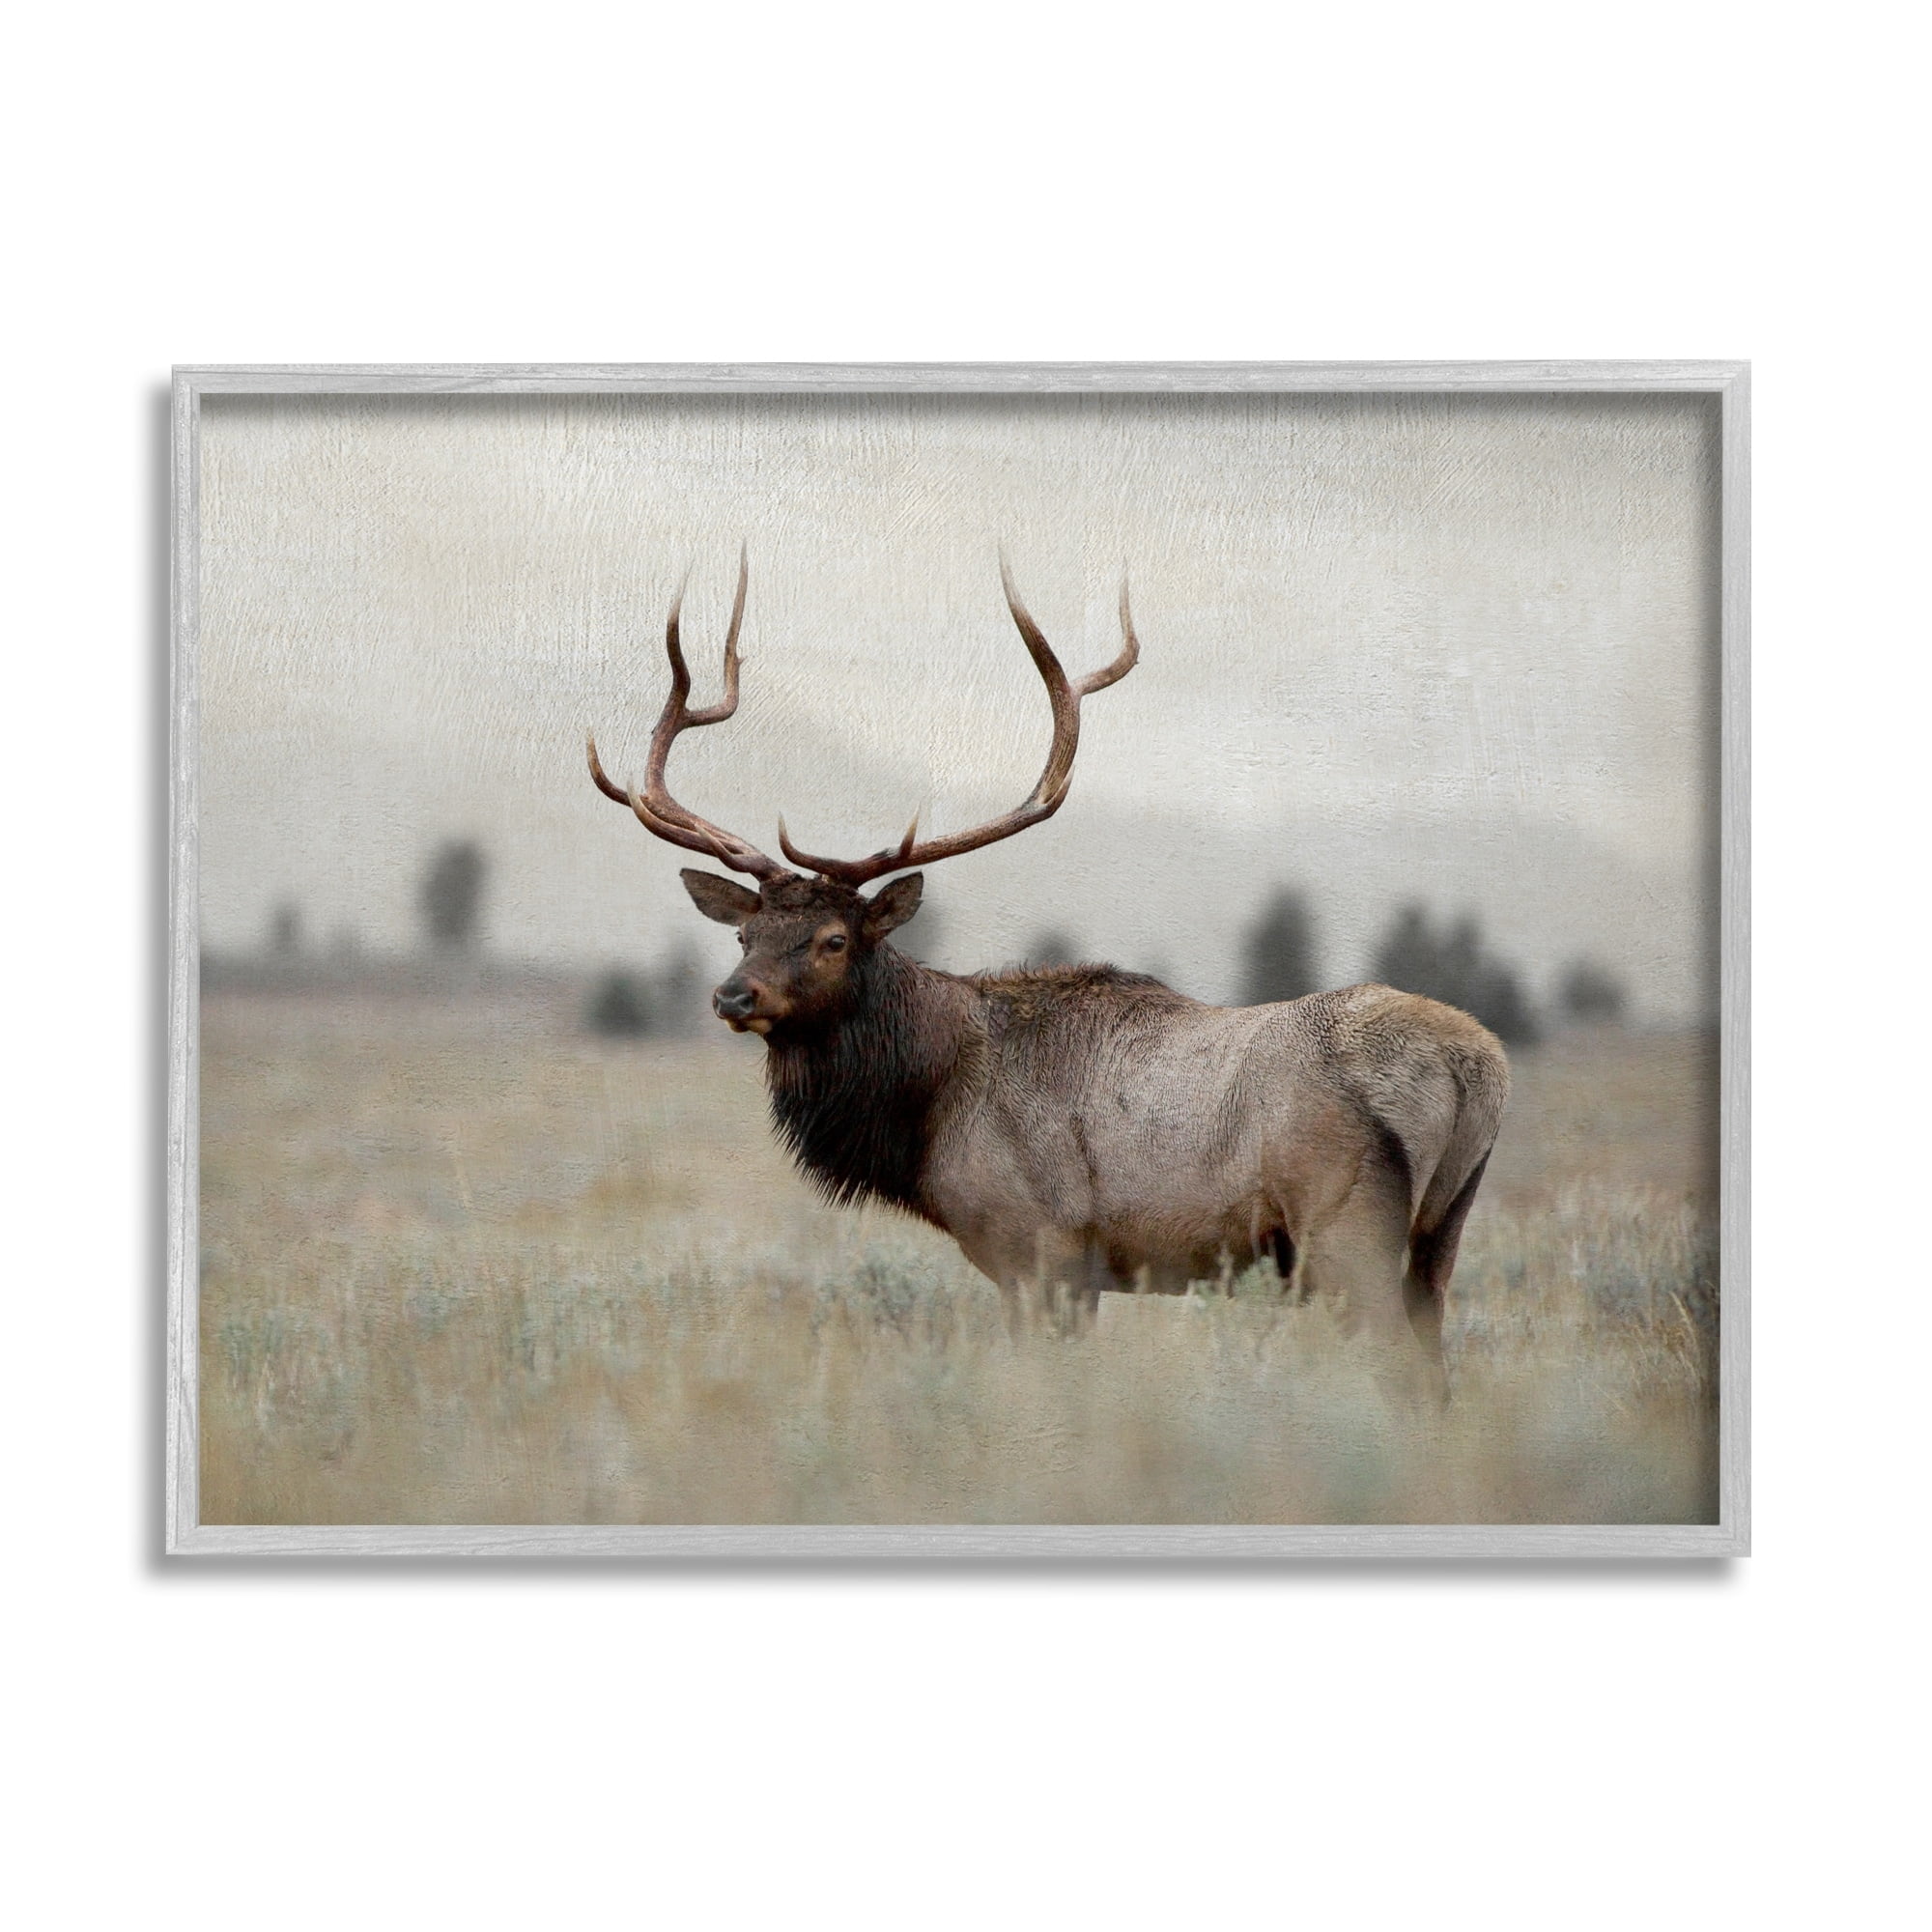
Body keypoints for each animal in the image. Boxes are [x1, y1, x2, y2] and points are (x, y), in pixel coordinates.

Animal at [587, 553, 1509, 1393]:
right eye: (745, 935)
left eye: (833, 939)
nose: (732, 995)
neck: (931, 1103)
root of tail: (1476, 1067)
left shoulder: (1040, 1247)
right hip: (1441, 1233)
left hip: (1346, 1228)